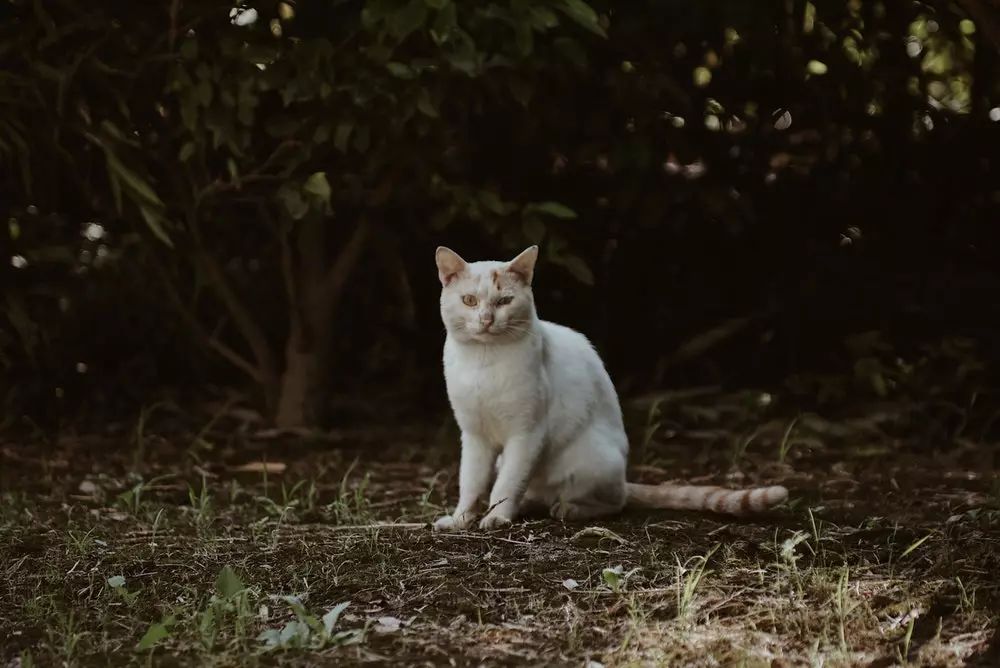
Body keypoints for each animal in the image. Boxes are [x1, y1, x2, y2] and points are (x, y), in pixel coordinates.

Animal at [434, 245, 784, 532]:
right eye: (469, 300)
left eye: (505, 301)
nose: (486, 319)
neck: (482, 362)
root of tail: (625, 478)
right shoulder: (474, 436)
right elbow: (471, 483)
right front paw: (461, 519)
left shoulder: (526, 434)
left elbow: (506, 485)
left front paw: (497, 518)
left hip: (588, 459)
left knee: (613, 502)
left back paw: (567, 508)